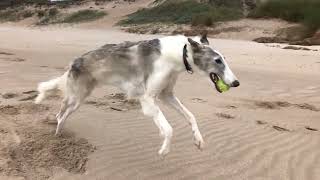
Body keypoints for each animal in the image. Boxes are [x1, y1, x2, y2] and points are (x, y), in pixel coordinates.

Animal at [35, 33, 240, 156]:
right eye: (217, 60)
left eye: (224, 59)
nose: (236, 83)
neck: (179, 54)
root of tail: (74, 62)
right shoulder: (148, 99)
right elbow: (169, 129)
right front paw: (164, 149)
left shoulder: (166, 95)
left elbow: (190, 116)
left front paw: (198, 140)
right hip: (77, 97)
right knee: (60, 115)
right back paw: (58, 136)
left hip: (79, 96)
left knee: (59, 114)